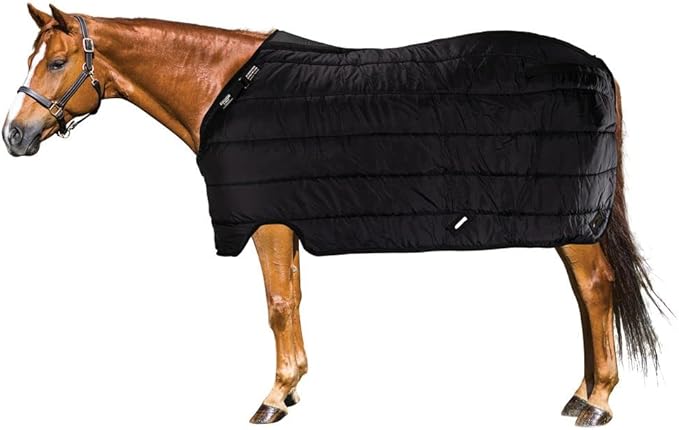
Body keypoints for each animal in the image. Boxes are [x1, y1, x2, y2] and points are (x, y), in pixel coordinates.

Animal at [2, 4, 666, 426]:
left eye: (55, 63)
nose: (15, 136)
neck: (226, 89)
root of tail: (597, 63)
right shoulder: (286, 221)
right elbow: (293, 299)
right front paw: (293, 387)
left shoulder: (265, 220)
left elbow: (277, 305)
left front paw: (273, 396)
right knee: (585, 296)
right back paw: (581, 394)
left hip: (574, 221)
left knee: (596, 289)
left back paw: (598, 402)